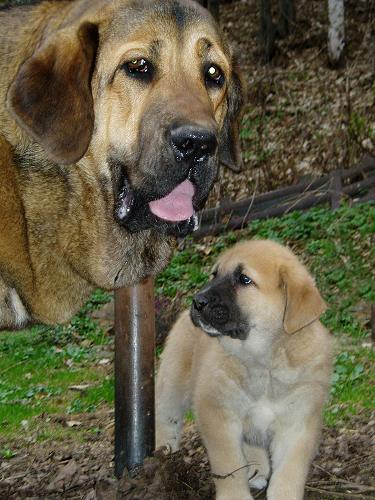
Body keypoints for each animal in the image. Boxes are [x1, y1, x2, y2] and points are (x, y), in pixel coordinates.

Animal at [157, 238, 334, 500]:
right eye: (215, 274)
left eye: (244, 279)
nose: (197, 302)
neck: (264, 362)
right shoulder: (218, 414)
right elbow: (229, 466)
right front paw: (235, 495)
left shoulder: (298, 423)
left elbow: (288, 473)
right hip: (173, 380)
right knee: (166, 418)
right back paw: (162, 455)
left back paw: (257, 468)